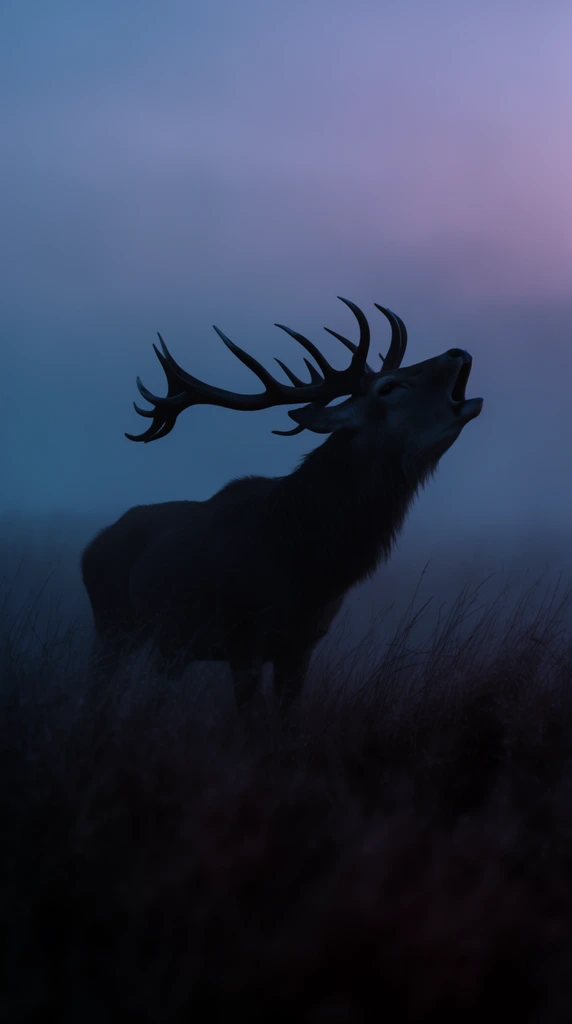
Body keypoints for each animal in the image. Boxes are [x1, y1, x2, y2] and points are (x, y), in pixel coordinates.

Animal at [81, 297, 483, 716]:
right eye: (387, 387)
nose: (457, 351)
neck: (301, 568)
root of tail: (89, 549)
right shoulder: (240, 635)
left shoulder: (302, 645)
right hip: (113, 622)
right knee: (93, 688)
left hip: (168, 644)